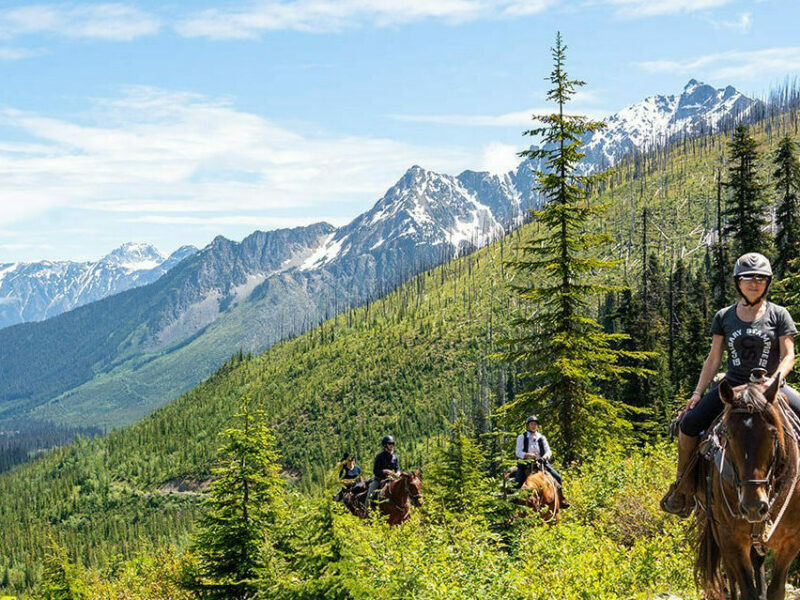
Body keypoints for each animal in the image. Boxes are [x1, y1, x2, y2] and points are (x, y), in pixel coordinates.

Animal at [694, 376, 800, 600]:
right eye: (728, 434)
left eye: (772, 433)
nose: (753, 507)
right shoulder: (731, 540)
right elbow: (746, 589)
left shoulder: (791, 541)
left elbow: (776, 590)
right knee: (732, 578)